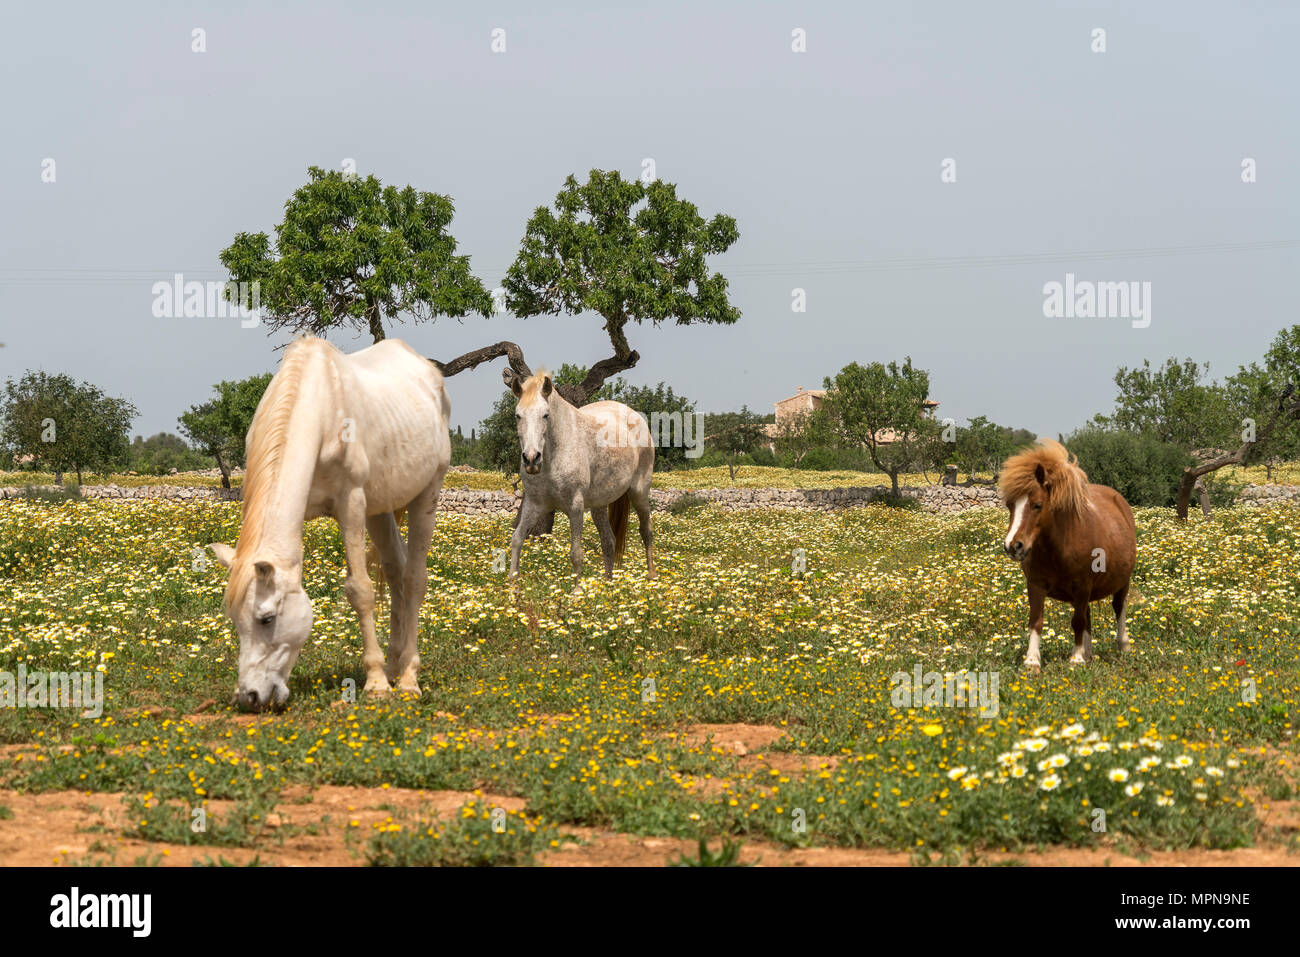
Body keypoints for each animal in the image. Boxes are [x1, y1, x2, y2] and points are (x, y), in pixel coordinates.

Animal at [202, 338, 447, 712]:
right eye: (235, 621)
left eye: (266, 619)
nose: (250, 698)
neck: (321, 412)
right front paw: (381, 673)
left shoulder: (352, 504)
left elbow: (360, 590)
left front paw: (376, 683)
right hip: (380, 509)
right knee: (395, 571)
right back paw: (395, 663)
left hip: (426, 494)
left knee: (415, 579)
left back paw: (407, 677)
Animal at [504, 369, 655, 582]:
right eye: (518, 416)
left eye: (545, 415)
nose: (531, 459)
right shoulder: (533, 505)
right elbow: (517, 539)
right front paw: (512, 584)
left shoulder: (575, 508)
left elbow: (576, 554)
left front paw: (576, 590)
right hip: (599, 505)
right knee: (609, 541)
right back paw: (608, 585)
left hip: (639, 493)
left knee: (646, 532)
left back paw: (652, 577)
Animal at [998, 442, 1133, 670]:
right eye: (1010, 505)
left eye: (1037, 505)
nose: (1013, 546)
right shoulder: (1036, 585)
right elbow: (1036, 621)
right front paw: (1032, 660)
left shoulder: (1082, 586)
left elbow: (1077, 621)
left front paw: (1076, 658)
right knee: (1088, 616)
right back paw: (1088, 653)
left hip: (1121, 582)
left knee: (1118, 608)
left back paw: (1122, 646)